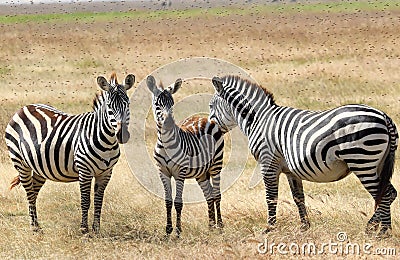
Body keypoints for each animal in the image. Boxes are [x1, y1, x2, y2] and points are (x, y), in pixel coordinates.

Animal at [5, 72, 135, 234]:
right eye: (109, 107)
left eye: (128, 104)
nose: (122, 135)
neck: (107, 141)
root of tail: (24, 107)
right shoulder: (84, 171)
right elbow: (85, 201)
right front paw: (84, 229)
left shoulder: (106, 173)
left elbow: (99, 201)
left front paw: (96, 230)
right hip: (21, 163)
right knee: (29, 192)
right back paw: (34, 227)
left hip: (39, 167)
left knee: (34, 192)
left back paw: (37, 225)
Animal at [146, 75, 225, 238]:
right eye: (157, 104)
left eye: (172, 104)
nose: (169, 122)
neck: (166, 144)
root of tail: (204, 118)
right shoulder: (163, 172)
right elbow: (168, 201)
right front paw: (168, 230)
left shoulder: (179, 173)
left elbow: (178, 202)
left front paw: (177, 232)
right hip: (201, 173)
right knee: (209, 195)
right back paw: (211, 226)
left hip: (216, 165)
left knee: (217, 195)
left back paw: (220, 226)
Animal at [209, 74, 396, 237]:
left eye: (211, 106)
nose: (211, 129)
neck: (258, 120)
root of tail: (384, 116)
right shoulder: (290, 170)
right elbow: (298, 197)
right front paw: (304, 227)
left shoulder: (268, 162)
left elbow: (271, 197)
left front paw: (269, 228)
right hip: (378, 163)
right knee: (389, 193)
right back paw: (378, 229)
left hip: (362, 161)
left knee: (385, 194)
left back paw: (379, 231)